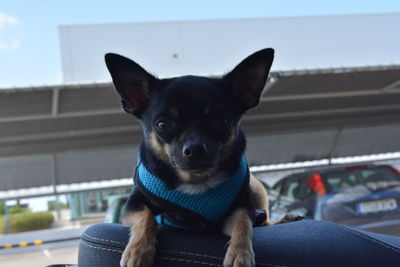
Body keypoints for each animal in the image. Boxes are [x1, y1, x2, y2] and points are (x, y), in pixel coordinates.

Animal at [104, 48, 298, 267]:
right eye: (162, 124)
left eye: (221, 121)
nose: (195, 148)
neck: (196, 181)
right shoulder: (133, 204)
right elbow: (147, 218)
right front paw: (138, 251)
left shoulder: (239, 209)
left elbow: (243, 224)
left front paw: (240, 253)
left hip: (256, 188)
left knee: (265, 221)